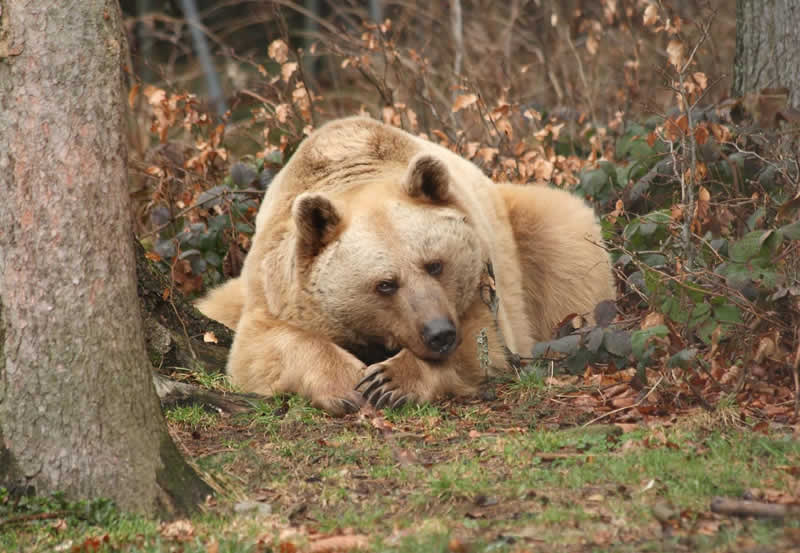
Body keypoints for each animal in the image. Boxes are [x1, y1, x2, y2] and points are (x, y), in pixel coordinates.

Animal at [198, 118, 612, 416]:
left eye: (435, 264)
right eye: (385, 284)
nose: (439, 333)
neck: (353, 168)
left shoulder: (481, 282)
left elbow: (485, 344)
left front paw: (389, 381)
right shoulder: (276, 284)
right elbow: (259, 347)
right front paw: (347, 384)